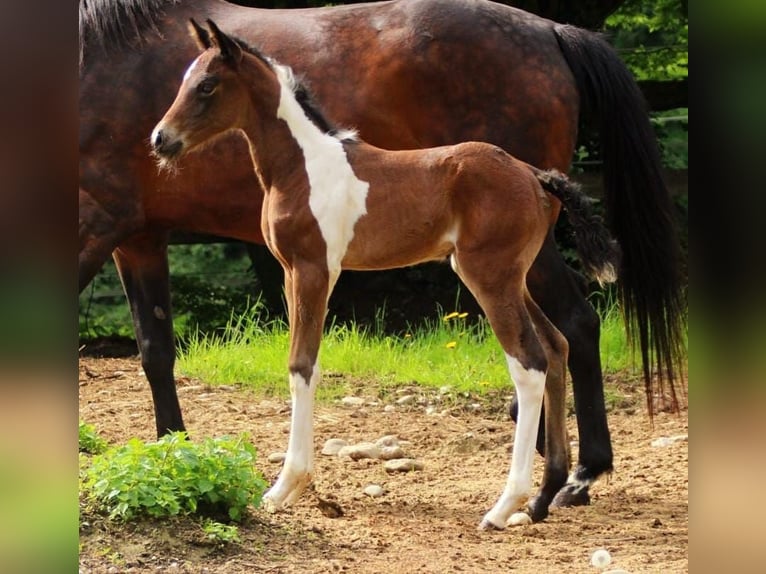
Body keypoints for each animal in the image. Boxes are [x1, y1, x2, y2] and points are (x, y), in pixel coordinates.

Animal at [79, 0, 685, 512]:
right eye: (182, 81)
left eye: (206, 86)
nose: (160, 140)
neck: (305, 164)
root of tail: (536, 176)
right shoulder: (276, 270)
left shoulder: (312, 269)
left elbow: (301, 365)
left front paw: (286, 486)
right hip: (509, 275)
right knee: (557, 343)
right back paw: (547, 492)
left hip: (491, 276)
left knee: (540, 355)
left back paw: (526, 497)